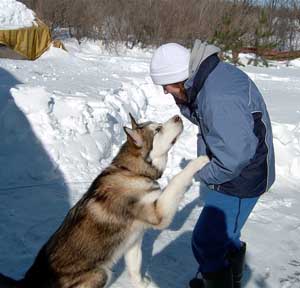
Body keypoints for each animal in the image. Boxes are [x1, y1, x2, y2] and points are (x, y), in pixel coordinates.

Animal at [0, 113, 210, 286]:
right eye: (158, 130)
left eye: (158, 124)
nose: (177, 116)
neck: (132, 171)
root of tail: (26, 281)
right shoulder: (159, 214)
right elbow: (178, 178)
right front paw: (200, 161)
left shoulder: (134, 240)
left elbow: (135, 269)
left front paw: (143, 284)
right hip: (100, 273)